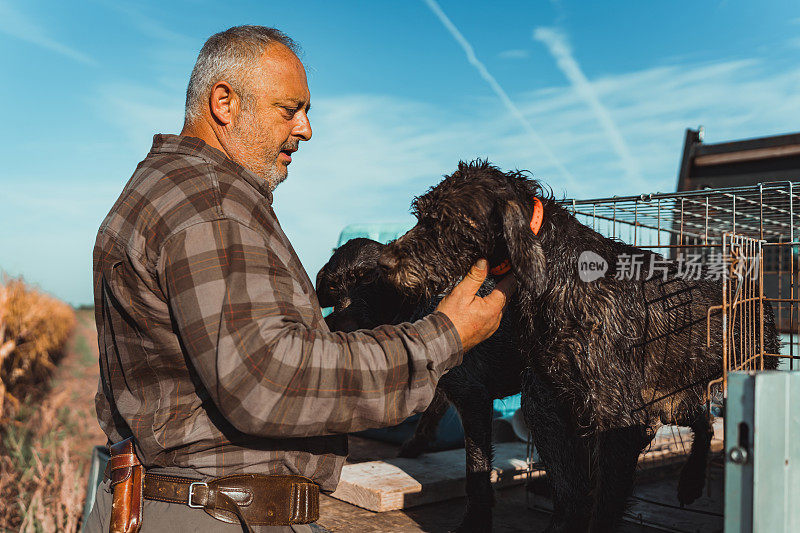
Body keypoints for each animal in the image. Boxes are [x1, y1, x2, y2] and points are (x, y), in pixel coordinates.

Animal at [318, 238, 524, 532]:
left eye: (369, 277)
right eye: (333, 286)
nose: (340, 328)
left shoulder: (473, 397)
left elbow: (476, 466)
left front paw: (476, 519)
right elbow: (432, 410)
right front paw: (414, 446)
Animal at [382, 160, 780, 528]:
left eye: (446, 223)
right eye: (420, 215)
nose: (385, 263)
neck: (555, 274)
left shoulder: (616, 417)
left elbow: (604, 502)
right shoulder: (551, 403)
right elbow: (570, 490)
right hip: (675, 400)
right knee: (703, 422)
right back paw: (691, 482)